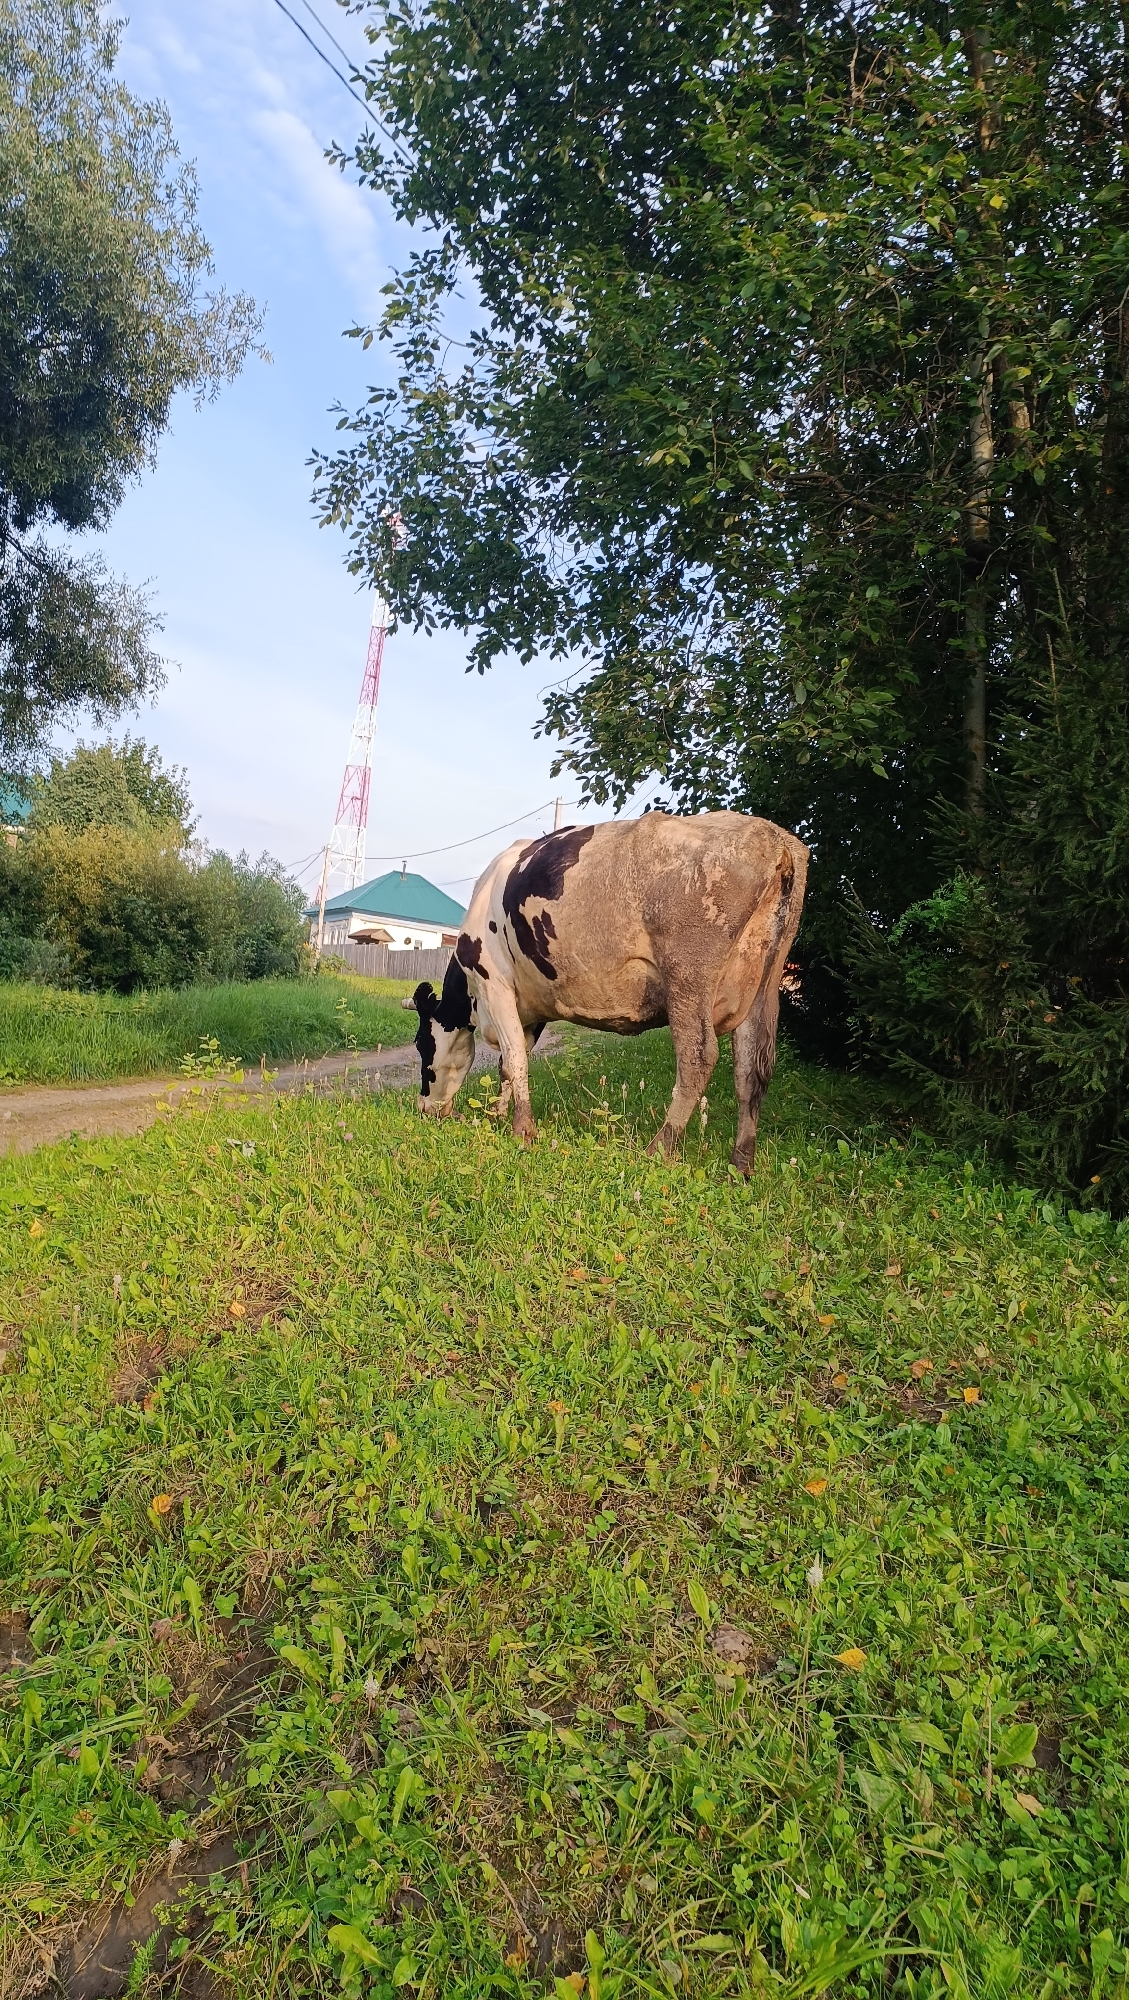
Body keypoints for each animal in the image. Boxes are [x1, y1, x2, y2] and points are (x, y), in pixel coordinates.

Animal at [406, 810, 808, 1174]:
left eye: (422, 1044)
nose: (425, 1108)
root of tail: (774, 837)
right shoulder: (531, 1005)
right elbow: (510, 1062)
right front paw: (498, 1114)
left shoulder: (495, 983)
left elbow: (515, 1057)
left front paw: (523, 1131)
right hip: (764, 985)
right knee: (751, 1070)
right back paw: (741, 1163)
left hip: (688, 976)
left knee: (698, 1057)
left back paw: (659, 1148)